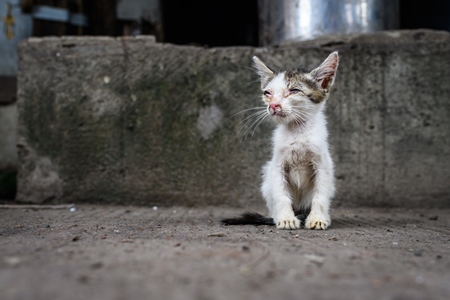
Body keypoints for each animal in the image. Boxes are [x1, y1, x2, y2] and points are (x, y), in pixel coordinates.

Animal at [223, 51, 340, 230]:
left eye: (294, 90)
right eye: (267, 93)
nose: (273, 105)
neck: (297, 132)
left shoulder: (323, 164)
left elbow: (320, 194)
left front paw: (317, 219)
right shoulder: (277, 166)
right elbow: (281, 194)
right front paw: (286, 219)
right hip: (267, 176)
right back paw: (278, 217)